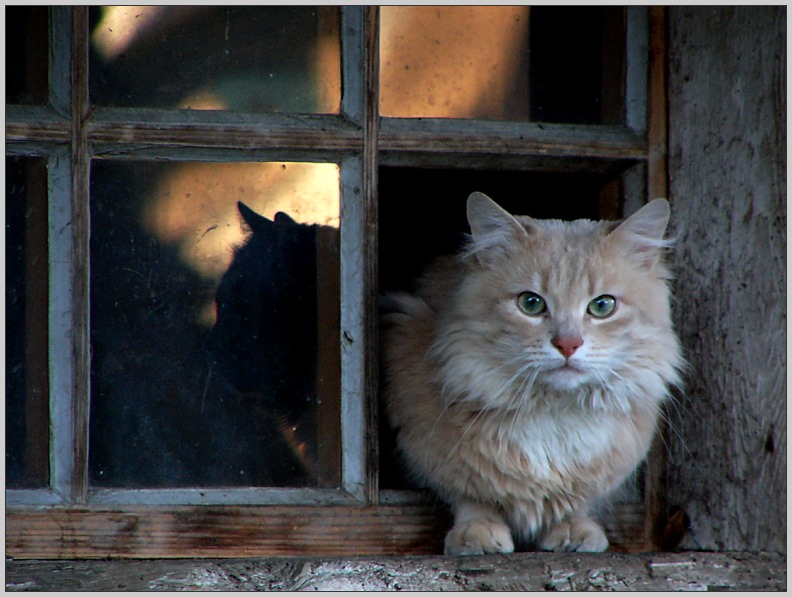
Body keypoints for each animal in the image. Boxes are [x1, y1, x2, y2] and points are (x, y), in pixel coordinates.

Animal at [382, 192, 680, 556]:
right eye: (531, 303)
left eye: (602, 306)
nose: (568, 344)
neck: (553, 411)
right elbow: (472, 499)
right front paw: (477, 535)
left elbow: (576, 504)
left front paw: (572, 531)